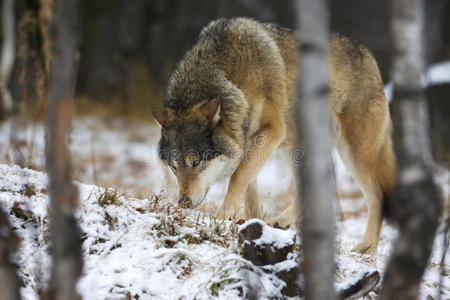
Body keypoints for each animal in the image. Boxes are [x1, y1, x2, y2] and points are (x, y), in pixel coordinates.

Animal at [150, 17, 394, 254]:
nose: (183, 202)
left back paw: (366, 249)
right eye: (173, 166)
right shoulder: (247, 143)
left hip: (353, 153)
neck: (231, 77)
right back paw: (280, 223)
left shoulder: (272, 130)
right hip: (295, 151)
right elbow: (248, 189)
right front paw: (249, 224)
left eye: (196, 162)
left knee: (378, 197)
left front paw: (225, 215)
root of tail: (370, 55)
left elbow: (238, 176)